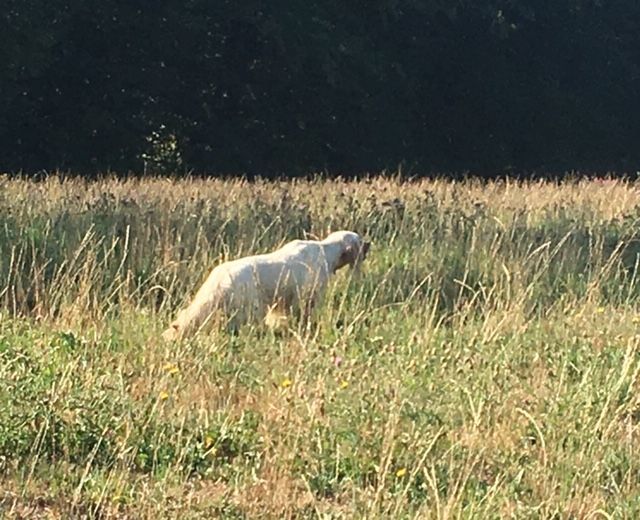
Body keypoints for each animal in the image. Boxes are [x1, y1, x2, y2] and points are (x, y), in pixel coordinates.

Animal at [161, 231, 370, 338]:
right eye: (360, 240)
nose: (369, 244)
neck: (326, 252)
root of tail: (219, 279)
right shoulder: (306, 297)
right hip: (249, 307)